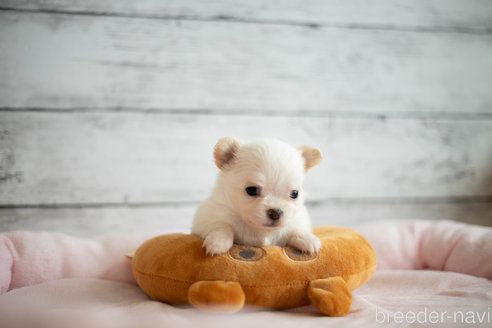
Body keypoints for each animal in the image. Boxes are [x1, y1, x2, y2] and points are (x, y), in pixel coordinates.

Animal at [190, 136, 320, 256]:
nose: (276, 212)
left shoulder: (298, 219)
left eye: (294, 194)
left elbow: (297, 229)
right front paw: (218, 242)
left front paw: (308, 239)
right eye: (252, 190)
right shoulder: (208, 217)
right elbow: (222, 226)